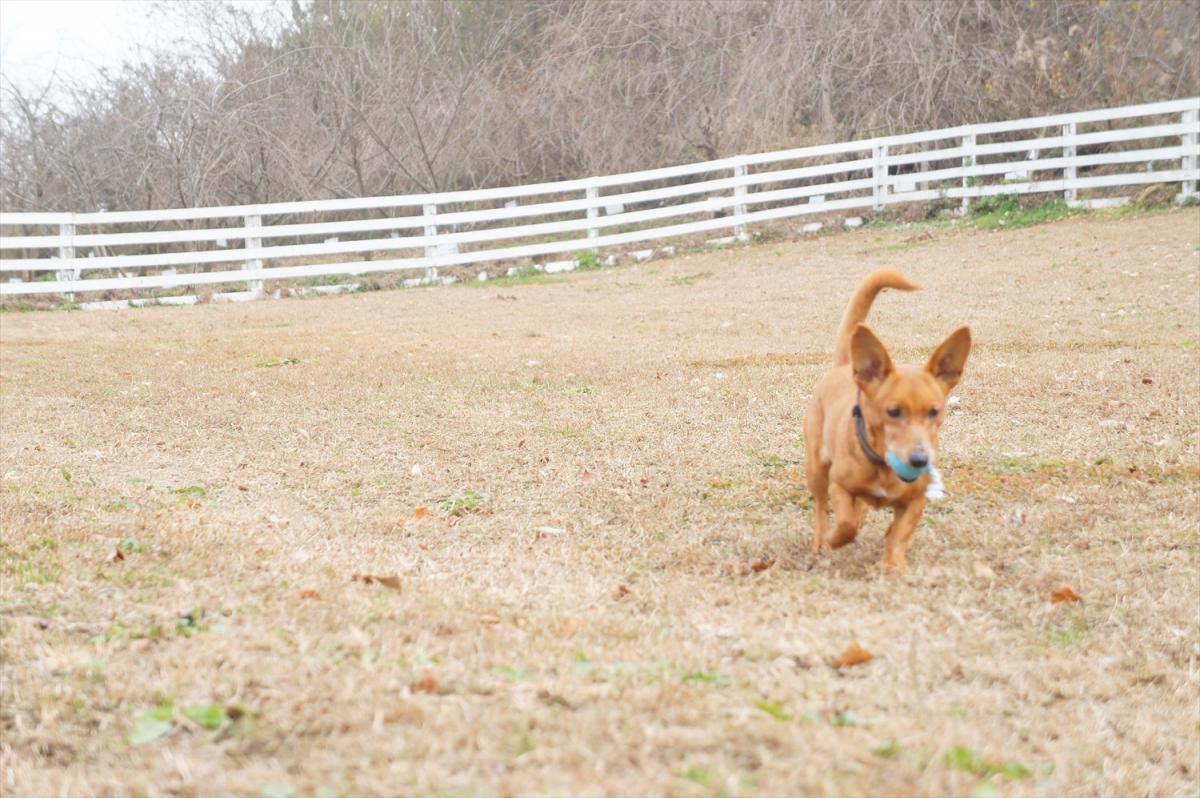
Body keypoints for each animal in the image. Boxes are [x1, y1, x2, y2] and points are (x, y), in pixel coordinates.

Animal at [801, 267, 969, 566]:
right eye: (893, 411)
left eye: (934, 412)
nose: (919, 460)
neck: (883, 467)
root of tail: (844, 366)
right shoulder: (839, 486)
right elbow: (845, 524)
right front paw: (836, 539)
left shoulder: (916, 501)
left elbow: (899, 534)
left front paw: (893, 564)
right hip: (817, 469)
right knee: (821, 506)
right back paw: (822, 539)